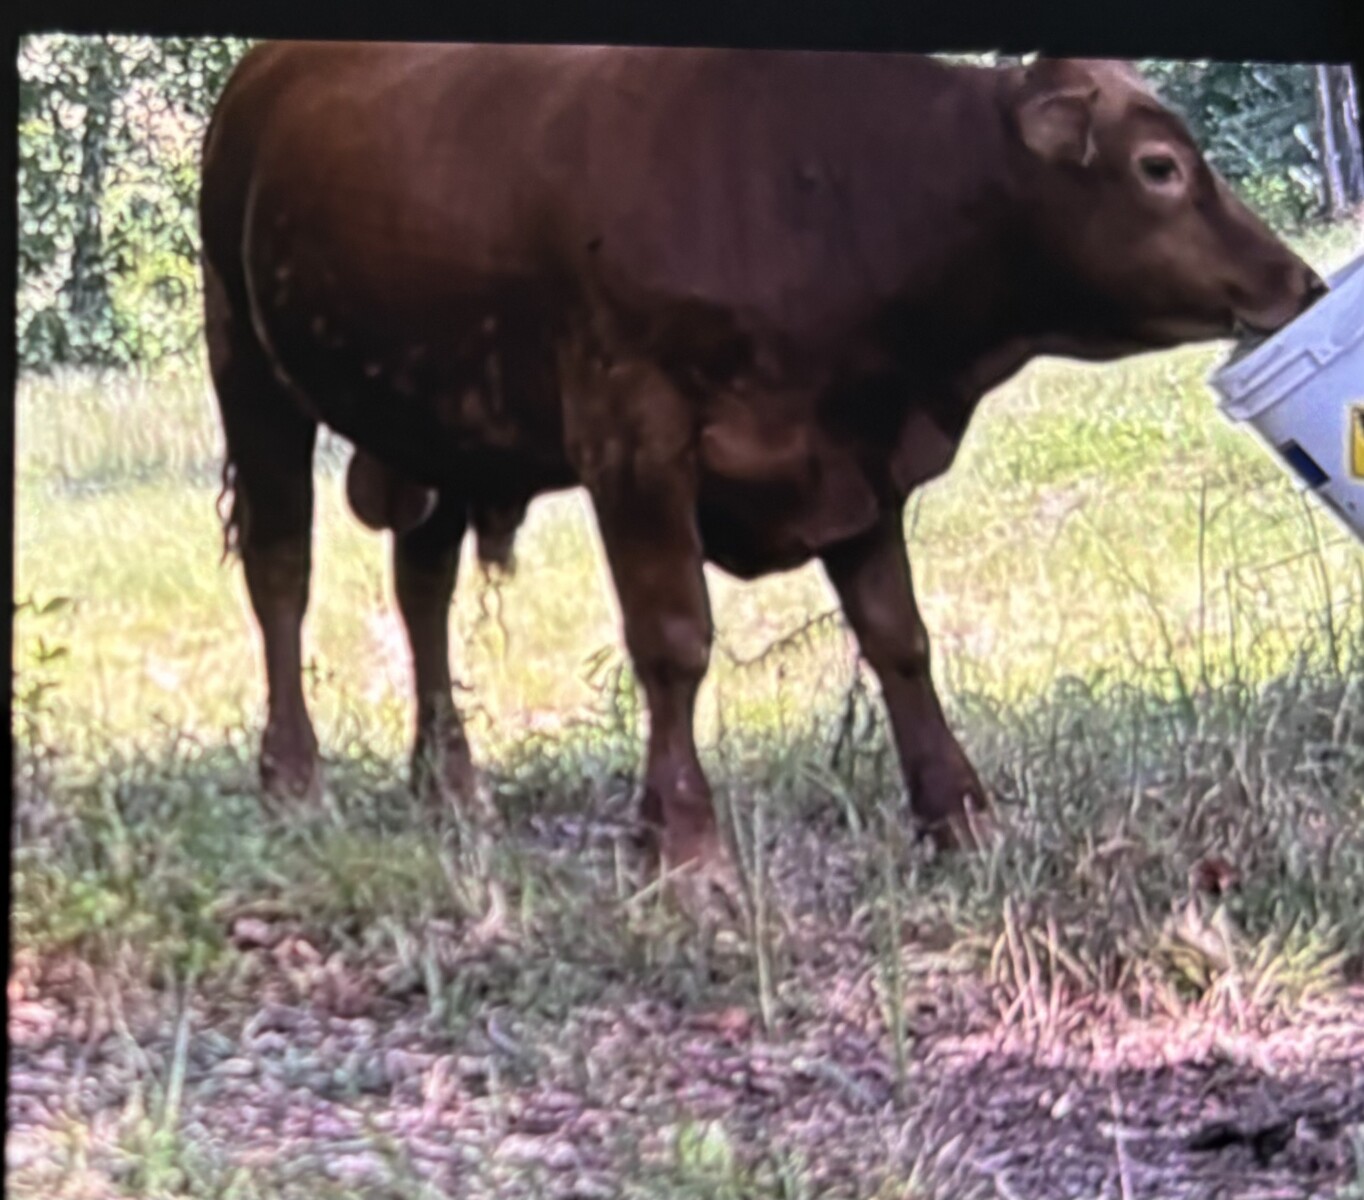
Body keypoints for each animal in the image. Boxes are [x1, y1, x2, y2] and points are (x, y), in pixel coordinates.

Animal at [200, 42, 1324, 881]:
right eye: (1157, 167)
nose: (1300, 281)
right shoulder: (634, 438)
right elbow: (673, 641)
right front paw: (683, 844)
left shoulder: (856, 460)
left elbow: (898, 638)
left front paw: (959, 817)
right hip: (246, 363)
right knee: (282, 572)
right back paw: (292, 781)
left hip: (431, 414)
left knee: (420, 586)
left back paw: (450, 787)